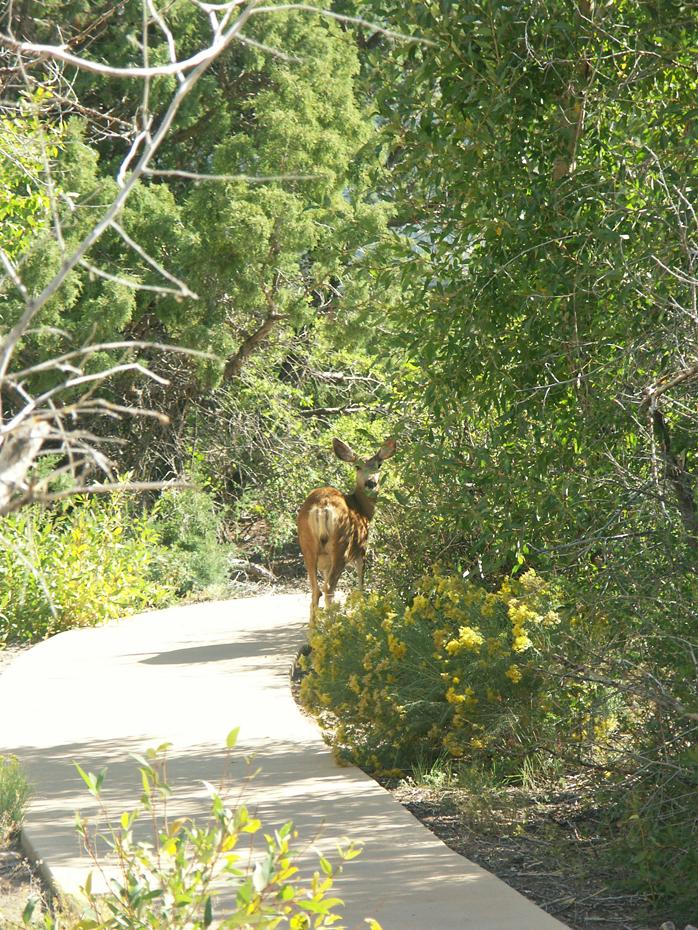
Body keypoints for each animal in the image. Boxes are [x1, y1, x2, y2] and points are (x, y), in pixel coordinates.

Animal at [297, 437, 397, 620]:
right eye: (357, 466)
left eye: (379, 464)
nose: (371, 482)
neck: (362, 510)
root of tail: (322, 507)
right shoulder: (362, 549)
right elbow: (361, 584)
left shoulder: (324, 563)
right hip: (341, 546)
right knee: (329, 588)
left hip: (307, 545)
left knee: (316, 590)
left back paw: (315, 626)